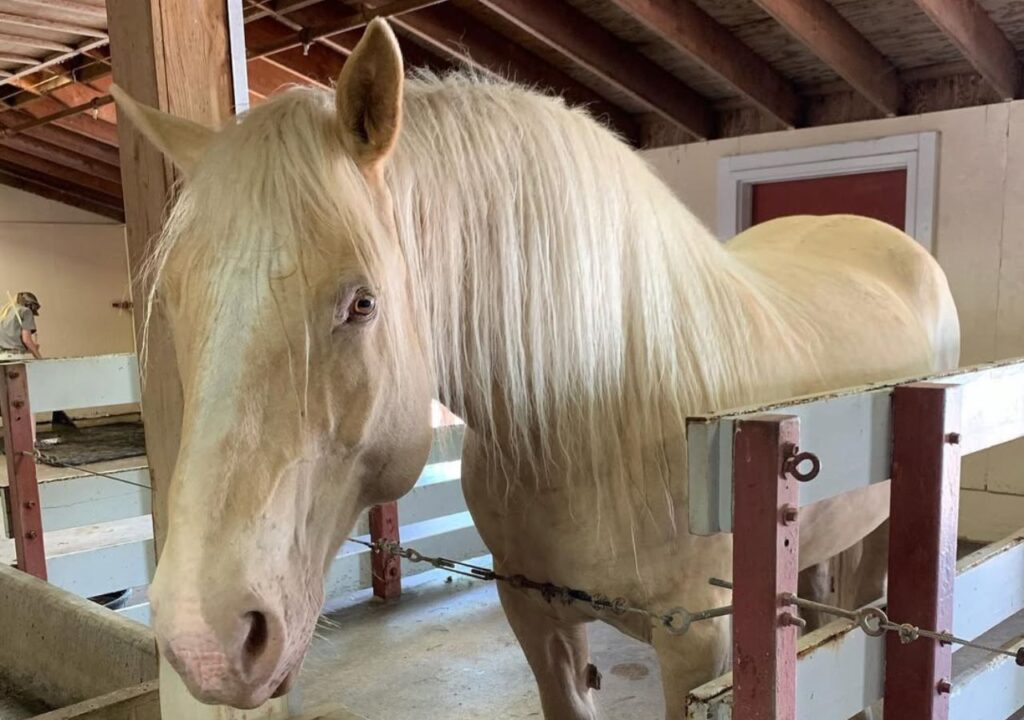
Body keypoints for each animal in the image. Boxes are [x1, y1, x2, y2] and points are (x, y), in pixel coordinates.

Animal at [110, 19, 959, 717]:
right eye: (174, 300)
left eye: (362, 302)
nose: (204, 642)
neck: (605, 418)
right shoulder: (537, 620)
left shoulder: (700, 645)